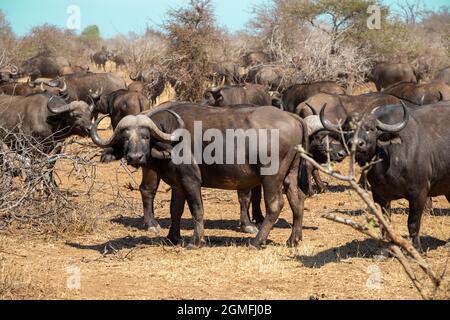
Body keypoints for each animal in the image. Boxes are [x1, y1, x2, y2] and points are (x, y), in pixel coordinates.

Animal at [91, 104, 310, 249]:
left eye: (145, 136)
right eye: (125, 138)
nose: (134, 157)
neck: (171, 137)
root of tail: (293, 118)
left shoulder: (191, 181)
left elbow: (197, 209)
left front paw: (196, 241)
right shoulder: (178, 184)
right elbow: (175, 210)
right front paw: (172, 238)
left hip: (270, 177)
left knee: (275, 205)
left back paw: (256, 241)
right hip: (289, 175)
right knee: (297, 199)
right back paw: (294, 239)